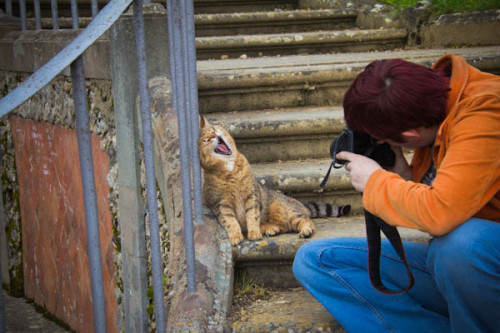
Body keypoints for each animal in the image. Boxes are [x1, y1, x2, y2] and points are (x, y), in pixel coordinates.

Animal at [197, 116, 350, 244]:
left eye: (213, 131)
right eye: (206, 140)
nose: (214, 136)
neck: (230, 169)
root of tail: (301, 204)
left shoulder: (252, 196)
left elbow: (252, 216)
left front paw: (253, 233)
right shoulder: (222, 205)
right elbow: (231, 222)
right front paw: (236, 236)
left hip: (285, 211)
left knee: (305, 221)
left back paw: (305, 230)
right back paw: (271, 229)